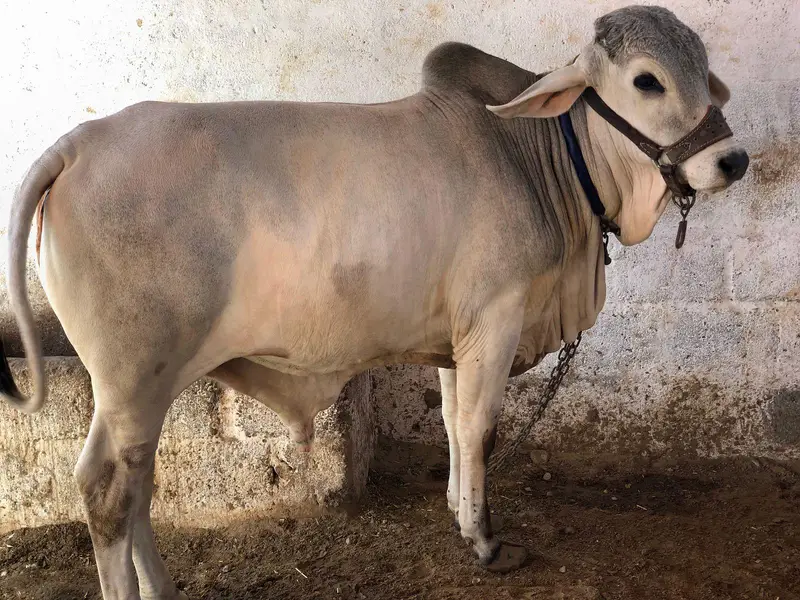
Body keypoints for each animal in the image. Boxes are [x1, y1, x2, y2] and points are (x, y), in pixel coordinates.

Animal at [1, 6, 748, 599]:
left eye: (704, 68)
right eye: (647, 80)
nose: (733, 160)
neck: (532, 155)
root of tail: (75, 144)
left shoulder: (458, 336)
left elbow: (453, 424)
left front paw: (458, 511)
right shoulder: (497, 316)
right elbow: (481, 428)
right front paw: (485, 541)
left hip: (139, 386)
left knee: (134, 485)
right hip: (133, 376)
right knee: (109, 490)